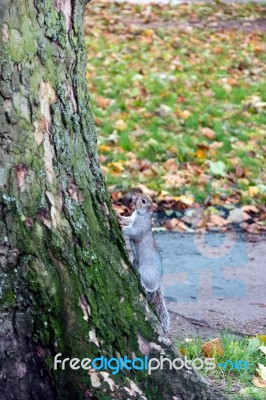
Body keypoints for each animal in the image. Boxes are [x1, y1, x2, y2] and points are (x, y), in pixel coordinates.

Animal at [119, 194, 169, 332]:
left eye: (143, 201)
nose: (134, 195)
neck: (139, 214)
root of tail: (159, 283)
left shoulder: (140, 227)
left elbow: (133, 232)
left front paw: (121, 226)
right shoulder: (131, 218)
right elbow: (127, 219)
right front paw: (118, 216)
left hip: (147, 274)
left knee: (148, 286)